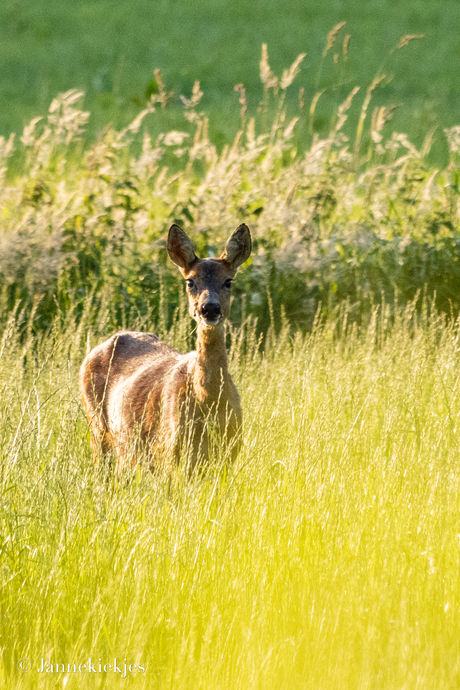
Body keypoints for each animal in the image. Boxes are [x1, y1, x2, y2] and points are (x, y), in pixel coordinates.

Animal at [80, 223, 252, 476]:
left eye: (228, 281)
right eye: (190, 282)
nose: (210, 308)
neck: (208, 400)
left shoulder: (229, 451)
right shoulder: (170, 450)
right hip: (97, 426)